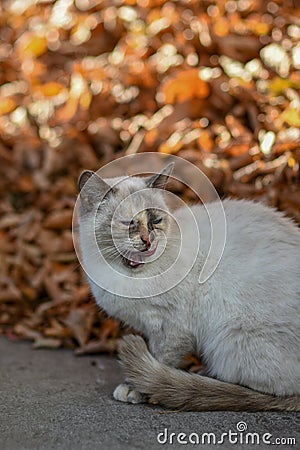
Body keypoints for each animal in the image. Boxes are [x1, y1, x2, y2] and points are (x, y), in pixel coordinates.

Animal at [77, 163, 300, 410]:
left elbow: (160, 358)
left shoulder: (171, 326)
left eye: (156, 221)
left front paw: (135, 388)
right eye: (129, 223)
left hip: (229, 338)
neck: (126, 275)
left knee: (269, 392)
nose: (148, 241)